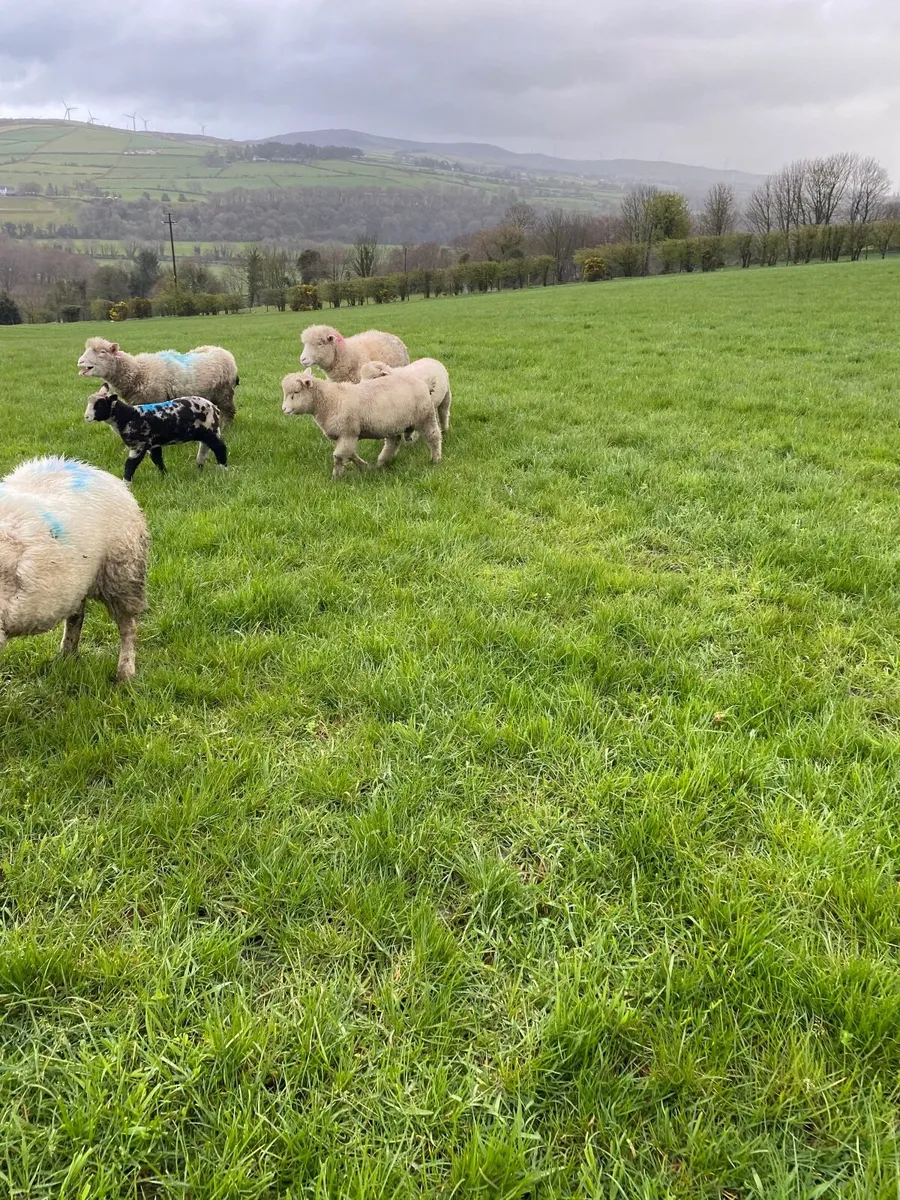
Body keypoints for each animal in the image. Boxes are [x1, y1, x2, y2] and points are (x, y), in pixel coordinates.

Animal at [0, 456, 148, 681]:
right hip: (77, 581)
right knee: (76, 617)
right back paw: (66, 656)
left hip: (122, 572)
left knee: (128, 626)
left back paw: (125, 672)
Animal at [77, 337, 239, 426]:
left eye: (102, 352)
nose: (80, 362)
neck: (138, 371)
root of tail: (223, 350)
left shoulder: (155, 399)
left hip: (224, 392)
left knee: (229, 413)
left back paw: (226, 429)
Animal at [84, 383, 228, 480]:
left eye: (100, 404)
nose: (86, 417)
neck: (128, 416)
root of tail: (214, 407)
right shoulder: (153, 444)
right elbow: (157, 459)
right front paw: (165, 475)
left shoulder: (138, 445)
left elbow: (130, 464)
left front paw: (126, 482)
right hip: (206, 433)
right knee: (204, 449)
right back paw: (199, 467)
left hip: (210, 430)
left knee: (220, 447)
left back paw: (223, 468)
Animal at [281, 368, 441, 480]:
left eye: (296, 392)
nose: (284, 409)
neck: (330, 400)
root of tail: (424, 383)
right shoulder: (343, 436)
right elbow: (350, 454)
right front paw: (364, 467)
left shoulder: (348, 432)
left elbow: (339, 457)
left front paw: (335, 478)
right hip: (393, 424)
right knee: (393, 442)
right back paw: (381, 463)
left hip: (425, 416)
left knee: (434, 436)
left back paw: (435, 459)